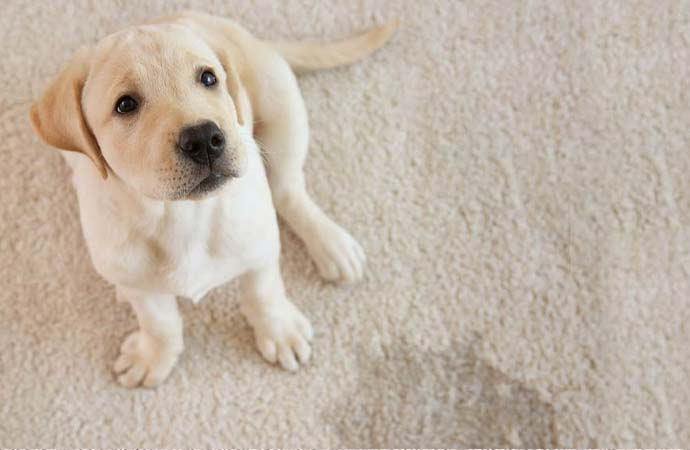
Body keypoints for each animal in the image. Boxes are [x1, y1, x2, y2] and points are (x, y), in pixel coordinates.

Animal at [29, 11, 397, 388]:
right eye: (125, 104)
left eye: (208, 78)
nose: (204, 138)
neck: (180, 216)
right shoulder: (135, 278)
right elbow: (159, 322)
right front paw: (154, 355)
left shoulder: (261, 247)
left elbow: (263, 292)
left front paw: (279, 330)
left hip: (282, 106)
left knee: (288, 190)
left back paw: (332, 244)